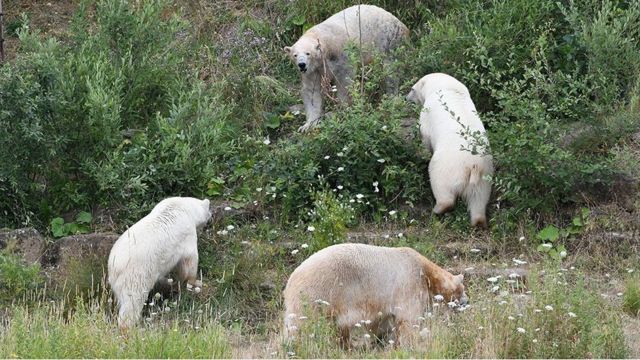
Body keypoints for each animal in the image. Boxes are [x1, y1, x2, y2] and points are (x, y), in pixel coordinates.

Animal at [108, 197, 210, 330]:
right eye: (209, 210)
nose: (209, 220)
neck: (184, 208)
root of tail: (114, 266)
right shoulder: (187, 234)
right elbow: (189, 261)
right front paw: (196, 282)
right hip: (135, 275)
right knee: (132, 302)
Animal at [282, 243, 468, 344]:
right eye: (462, 289)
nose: (466, 302)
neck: (424, 270)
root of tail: (291, 280)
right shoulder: (409, 283)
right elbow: (408, 319)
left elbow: (385, 323)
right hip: (317, 294)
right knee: (300, 326)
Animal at [284, 4, 410, 132]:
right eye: (295, 55)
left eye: (308, 53)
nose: (302, 64)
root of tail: (401, 23)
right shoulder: (313, 70)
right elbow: (312, 92)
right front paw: (307, 125)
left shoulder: (342, 56)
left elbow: (344, 83)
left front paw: (340, 111)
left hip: (389, 40)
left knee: (391, 71)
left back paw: (391, 98)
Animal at [408, 72, 492, 228]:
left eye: (412, 89)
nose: (406, 98)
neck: (447, 88)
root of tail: (473, 165)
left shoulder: (428, 112)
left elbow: (425, 135)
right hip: (485, 176)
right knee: (478, 198)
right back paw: (478, 222)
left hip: (447, 168)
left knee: (440, 184)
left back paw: (439, 208)